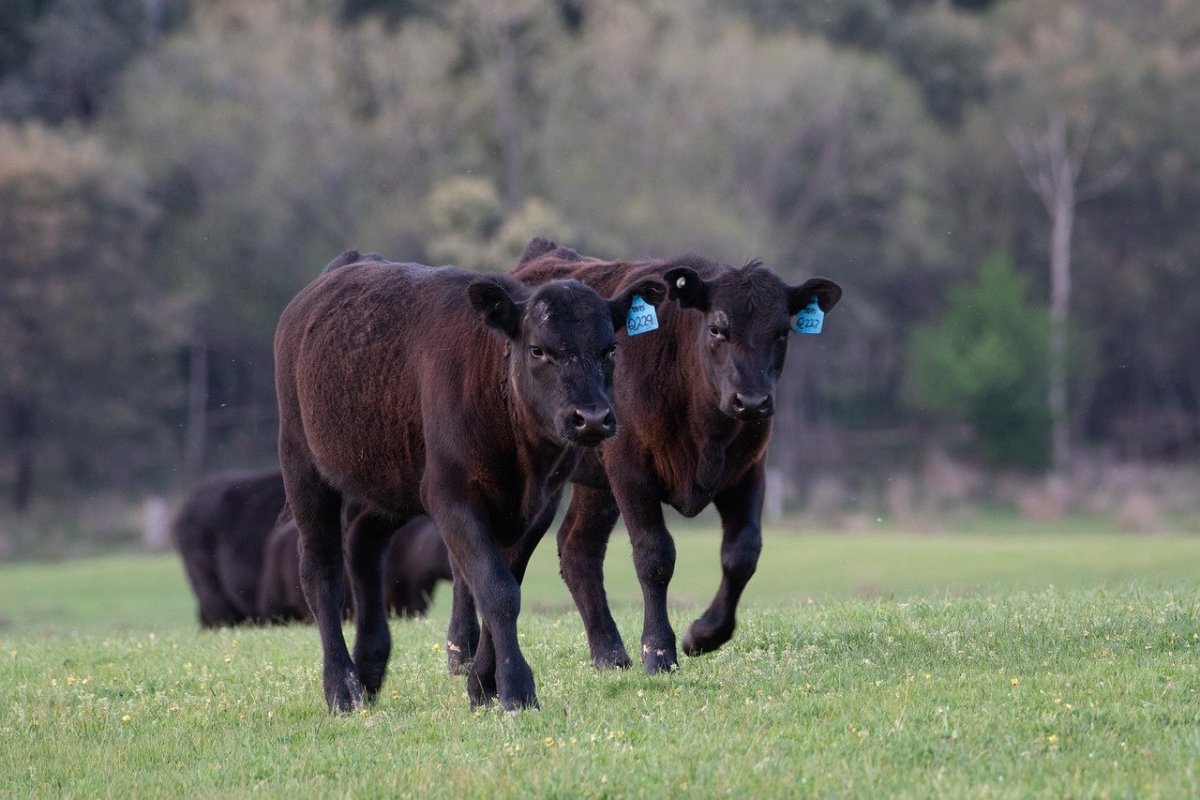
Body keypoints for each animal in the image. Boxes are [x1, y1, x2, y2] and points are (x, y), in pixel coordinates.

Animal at [273, 250, 666, 712]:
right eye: (538, 350)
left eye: (610, 348)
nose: (590, 418)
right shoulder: (451, 496)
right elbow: (496, 589)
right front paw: (516, 688)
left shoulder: (539, 505)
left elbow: (505, 582)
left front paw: (483, 683)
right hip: (301, 463)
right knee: (321, 573)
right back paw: (342, 687)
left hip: (389, 482)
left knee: (364, 546)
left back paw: (369, 669)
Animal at [449, 236, 841, 675]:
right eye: (717, 328)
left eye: (782, 332)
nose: (753, 401)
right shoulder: (631, 468)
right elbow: (654, 556)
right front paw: (659, 651)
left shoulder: (749, 470)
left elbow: (742, 552)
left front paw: (704, 635)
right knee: (470, 561)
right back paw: (460, 653)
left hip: (593, 484)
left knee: (577, 548)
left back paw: (609, 652)